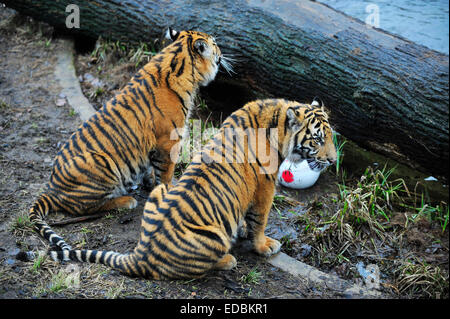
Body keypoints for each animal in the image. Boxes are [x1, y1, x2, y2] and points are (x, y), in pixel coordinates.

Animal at [29, 27, 229, 251]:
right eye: (215, 44)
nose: (222, 52)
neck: (177, 58)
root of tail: (51, 189)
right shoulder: (168, 142)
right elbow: (166, 173)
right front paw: (166, 191)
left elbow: (152, 168)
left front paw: (151, 184)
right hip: (101, 163)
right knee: (85, 207)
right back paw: (126, 201)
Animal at [50, 98, 338, 280]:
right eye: (317, 139)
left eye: (330, 137)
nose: (334, 161)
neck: (276, 119)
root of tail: (141, 255)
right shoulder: (265, 186)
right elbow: (260, 219)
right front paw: (264, 245)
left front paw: (244, 229)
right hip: (214, 235)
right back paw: (227, 260)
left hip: (159, 191)